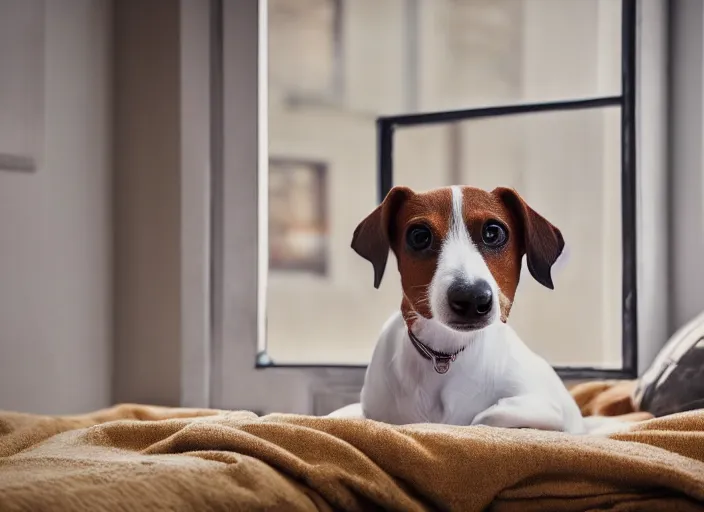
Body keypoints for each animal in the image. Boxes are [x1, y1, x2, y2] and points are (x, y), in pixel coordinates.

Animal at [330, 186, 588, 434]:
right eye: (419, 236)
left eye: (493, 233)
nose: (471, 297)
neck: (444, 352)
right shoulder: (371, 411)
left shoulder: (546, 407)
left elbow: (483, 418)